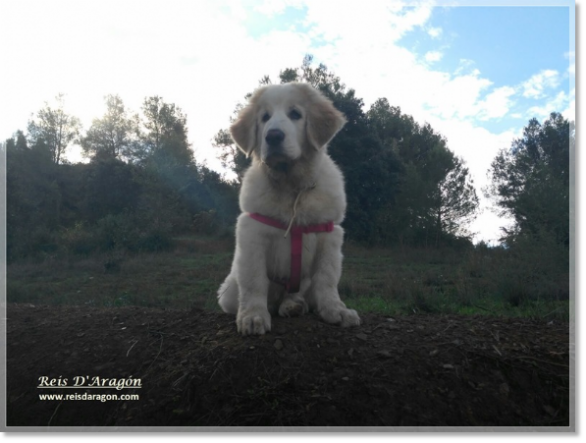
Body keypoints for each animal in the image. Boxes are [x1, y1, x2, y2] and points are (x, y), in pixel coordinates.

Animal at [217, 82, 358, 336]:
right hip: (230, 289)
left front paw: (336, 310)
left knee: (299, 291)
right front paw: (253, 316)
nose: (273, 136)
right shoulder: (252, 231)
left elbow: (327, 279)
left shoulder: (330, 235)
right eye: (264, 117)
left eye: (295, 114)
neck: (292, 188)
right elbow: (254, 281)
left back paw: (293, 305)